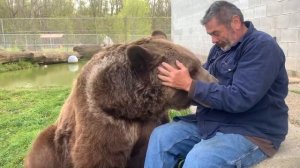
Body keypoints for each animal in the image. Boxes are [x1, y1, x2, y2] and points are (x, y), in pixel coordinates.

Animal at [23, 36, 216, 168]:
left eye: (198, 64)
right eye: (192, 69)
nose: (214, 80)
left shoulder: (149, 123)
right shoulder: (101, 122)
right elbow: (97, 157)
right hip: (56, 143)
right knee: (41, 149)